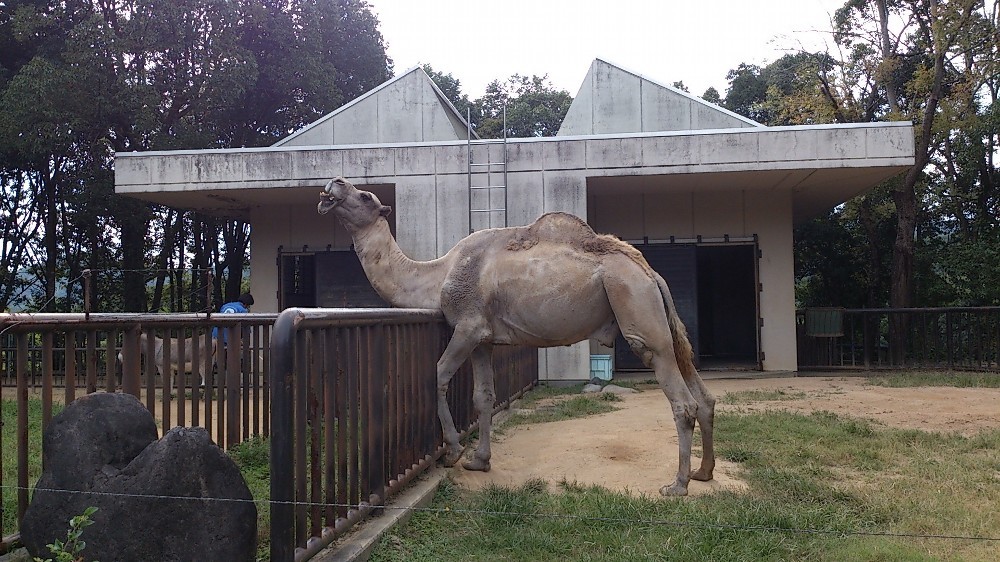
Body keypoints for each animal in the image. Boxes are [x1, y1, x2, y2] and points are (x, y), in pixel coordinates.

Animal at [316, 175, 716, 494]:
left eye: (365, 195)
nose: (333, 183)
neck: (439, 274)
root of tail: (651, 274)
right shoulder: (484, 339)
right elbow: (484, 396)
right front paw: (480, 460)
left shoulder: (467, 325)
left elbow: (440, 373)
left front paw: (453, 451)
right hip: (659, 317)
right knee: (704, 396)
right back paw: (703, 472)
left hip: (635, 304)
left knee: (681, 398)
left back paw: (677, 484)